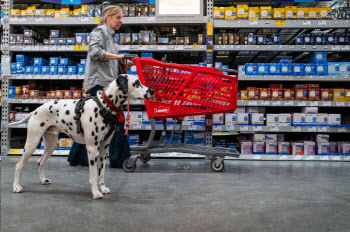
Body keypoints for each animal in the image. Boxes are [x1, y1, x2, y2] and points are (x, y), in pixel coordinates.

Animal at [10, 74, 152, 199]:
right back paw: (16, 186)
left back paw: (43, 180)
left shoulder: (103, 149)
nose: (151, 90)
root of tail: (35, 110)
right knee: (19, 165)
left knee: (41, 162)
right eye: (136, 83)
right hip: (32, 143)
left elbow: (101, 173)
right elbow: (94, 174)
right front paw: (96, 193)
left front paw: (102, 188)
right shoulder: (92, 149)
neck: (104, 106)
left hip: (50, 145)